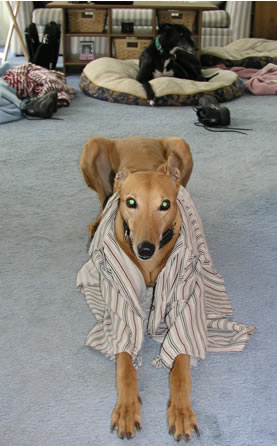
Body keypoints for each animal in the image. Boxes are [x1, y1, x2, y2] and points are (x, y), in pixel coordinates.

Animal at [80, 137, 198, 442]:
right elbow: (124, 363)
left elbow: (180, 361)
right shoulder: (121, 300)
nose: (145, 249)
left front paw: (181, 411)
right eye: (131, 202)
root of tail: (135, 136)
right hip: (93, 150)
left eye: (165, 204)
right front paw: (126, 408)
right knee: (103, 198)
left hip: (181, 146)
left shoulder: (181, 295)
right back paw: (96, 222)